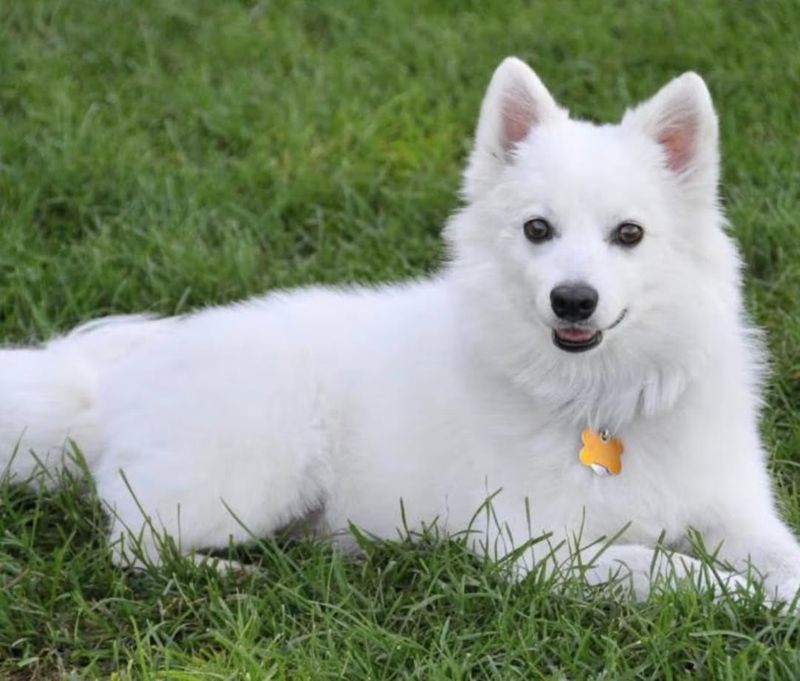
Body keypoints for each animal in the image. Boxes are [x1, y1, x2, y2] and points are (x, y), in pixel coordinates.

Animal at [1, 57, 800, 600]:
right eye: (537, 229)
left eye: (628, 234)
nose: (573, 300)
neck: (601, 398)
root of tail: (110, 390)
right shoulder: (537, 546)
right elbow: (670, 567)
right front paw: (745, 599)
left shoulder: (739, 512)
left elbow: (779, 557)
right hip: (259, 473)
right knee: (131, 545)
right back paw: (225, 571)